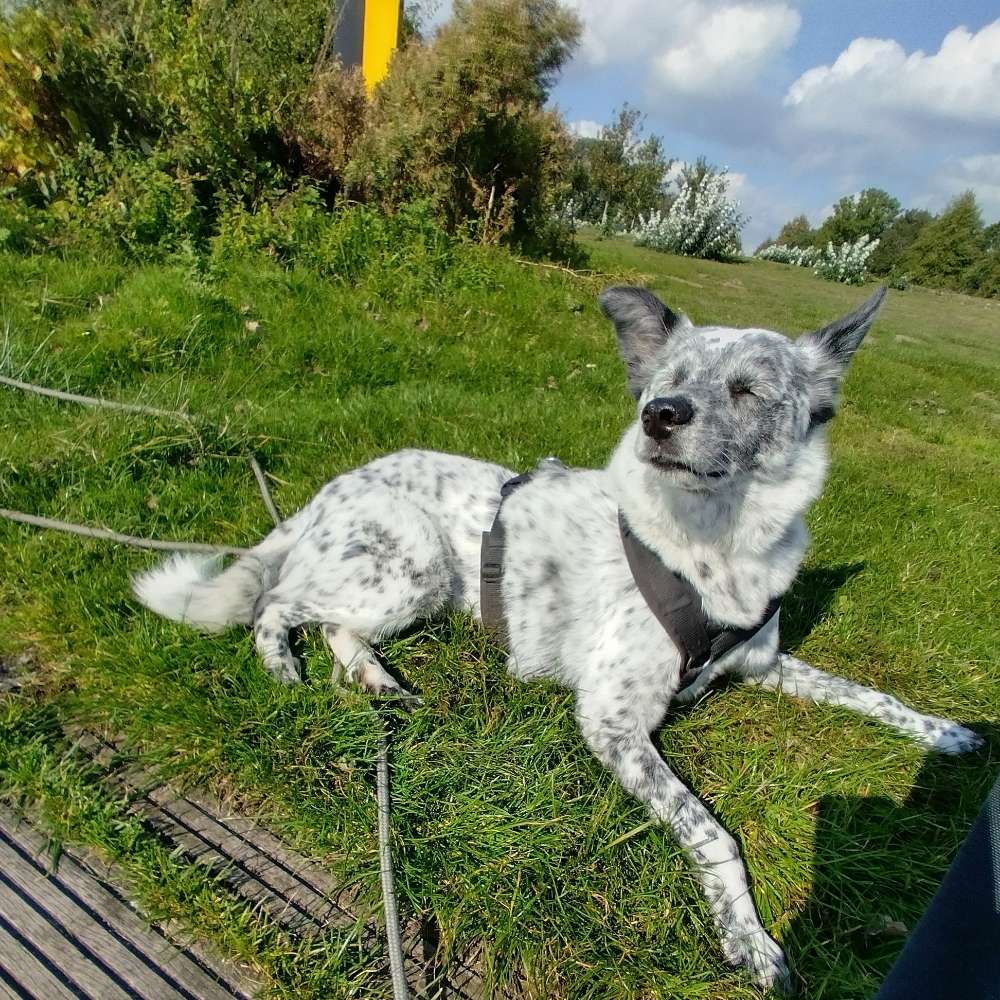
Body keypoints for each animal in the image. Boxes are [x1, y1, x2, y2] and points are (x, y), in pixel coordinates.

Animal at [135, 288, 984, 992]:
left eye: (747, 389)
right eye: (666, 379)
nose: (659, 415)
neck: (714, 548)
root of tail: (333, 486)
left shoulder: (764, 661)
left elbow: (870, 694)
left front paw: (943, 733)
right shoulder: (612, 719)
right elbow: (713, 834)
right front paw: (749, 936)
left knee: (338, 626)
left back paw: (377, 680)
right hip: (412, 560)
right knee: (278, 601)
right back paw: (282, 667)